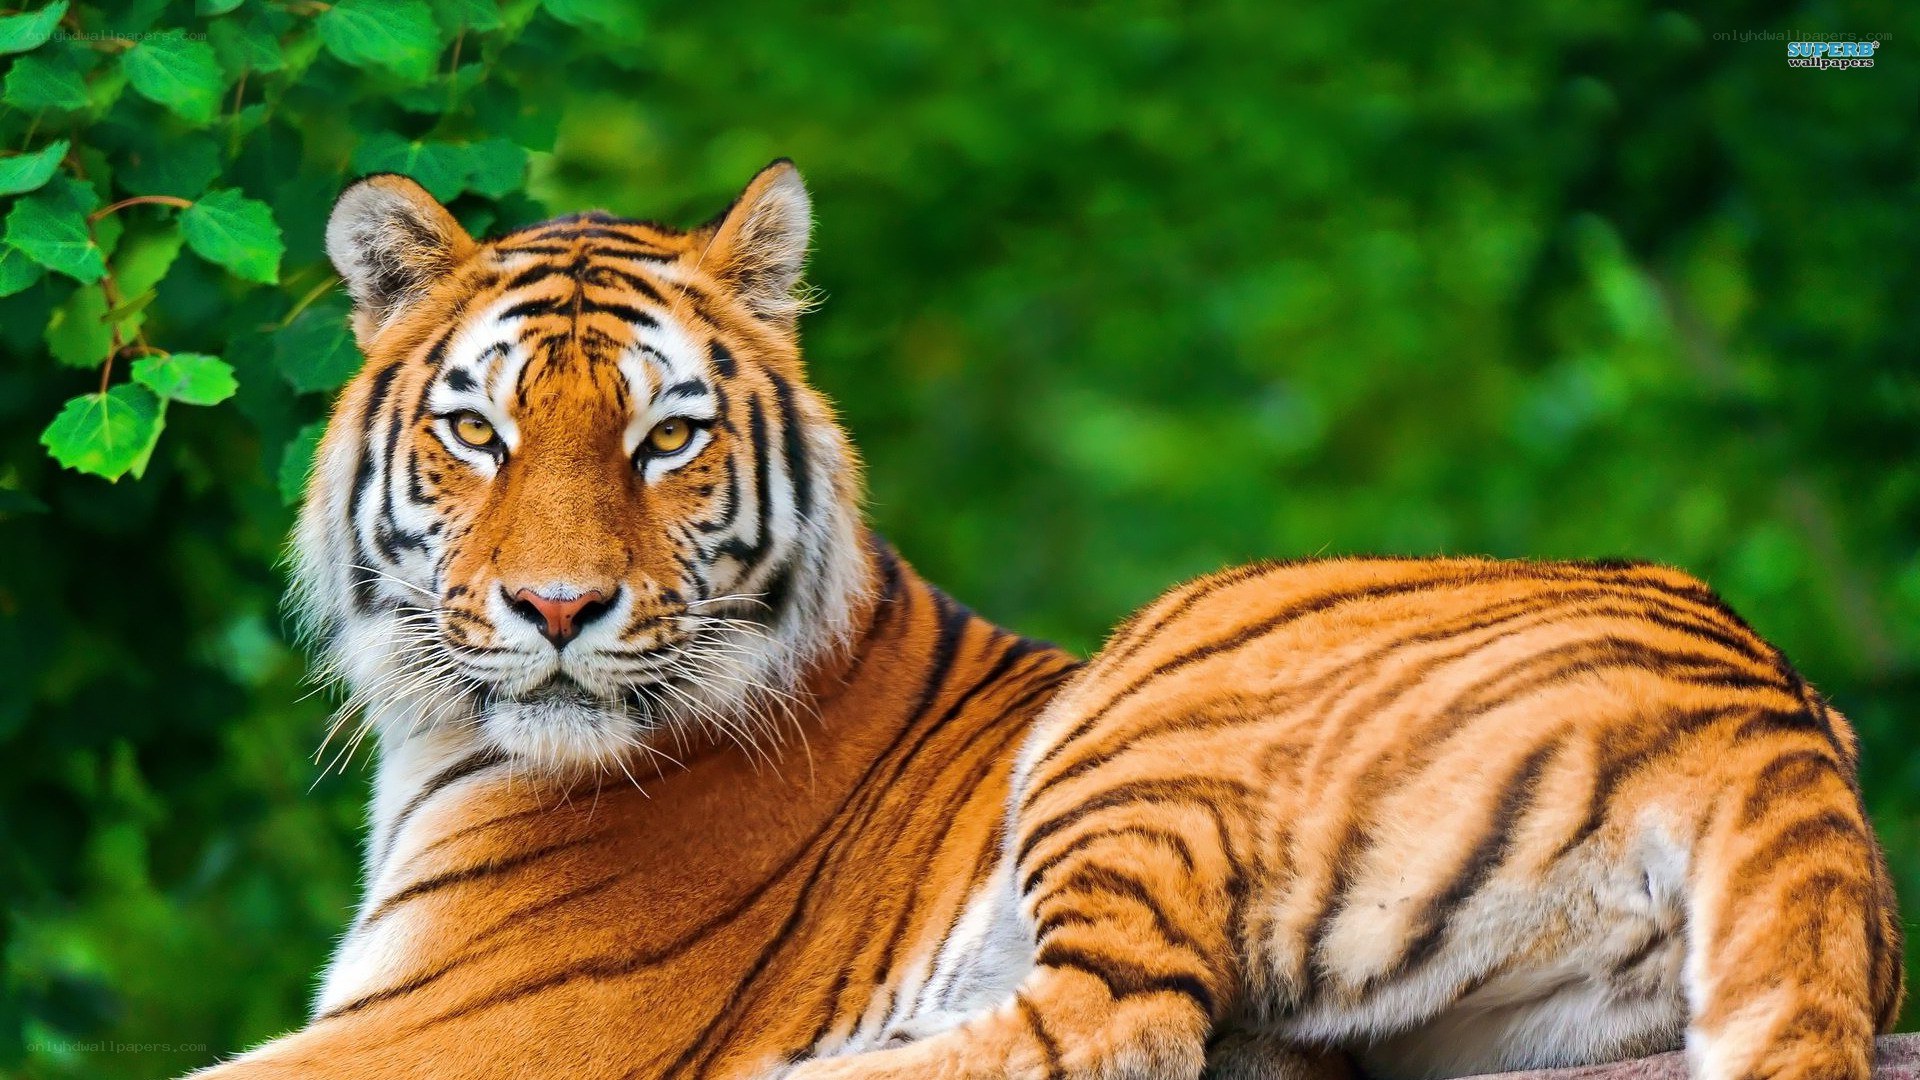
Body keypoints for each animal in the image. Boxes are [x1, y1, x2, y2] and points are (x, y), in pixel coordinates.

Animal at [188, 163, 1903, 1080]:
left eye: (665, 437)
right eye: (478, 434)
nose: (557, 607)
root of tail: (1767, 704)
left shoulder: (469, 1024)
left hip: (1150, 698)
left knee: (1118, 1021)